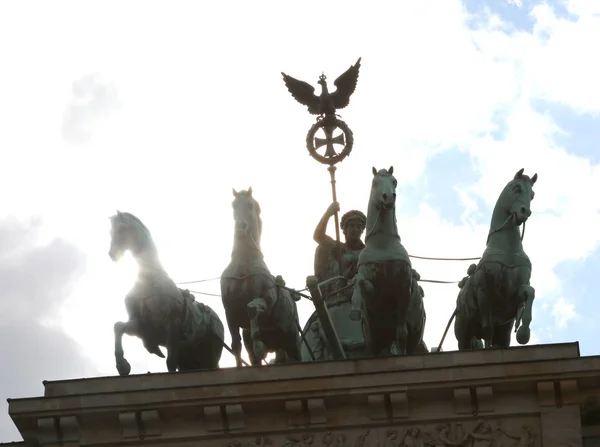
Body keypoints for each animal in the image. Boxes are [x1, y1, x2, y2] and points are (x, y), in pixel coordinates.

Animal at [220, 189, 302, 368]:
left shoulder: (265, 301)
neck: (243, 266)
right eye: (234, 205)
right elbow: (235, 345)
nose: (240, 228)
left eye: (250, 205)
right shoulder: (230, 312)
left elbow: (252, 308)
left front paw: (259, 345)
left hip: (292, 342)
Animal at [350, 167, 420, 356]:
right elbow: (361, 281)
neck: (382, 245)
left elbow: (401, 333)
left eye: (394, 181)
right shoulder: (373, 297)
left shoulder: (404, 289)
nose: (388, 197)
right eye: (375, 182)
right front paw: (355, 303)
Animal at [454, 169, 540, 350]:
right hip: (463, 334)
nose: (525, 212)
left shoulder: (515, 294)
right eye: (516, 188)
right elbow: (487, 330)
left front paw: (524, 333)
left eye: (532, 195)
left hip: (504, 332)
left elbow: (529, 292)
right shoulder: (484, 292)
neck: (507, 250)